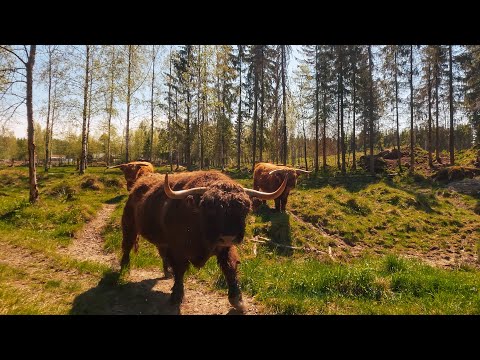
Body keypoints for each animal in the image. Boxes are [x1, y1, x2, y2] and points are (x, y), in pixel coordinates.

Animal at [119, 170, 286, 310]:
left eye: (245, 209)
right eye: (210, 208)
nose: (228, 237)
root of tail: (137, 185)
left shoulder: (225, 249)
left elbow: (230, 267)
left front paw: (237, 300)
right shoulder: (178, 249)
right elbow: (180, 270)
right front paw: (176, 296)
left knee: (162, 252)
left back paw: (167, 272)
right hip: (129, 225)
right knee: (127, 246)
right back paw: (124, 269)